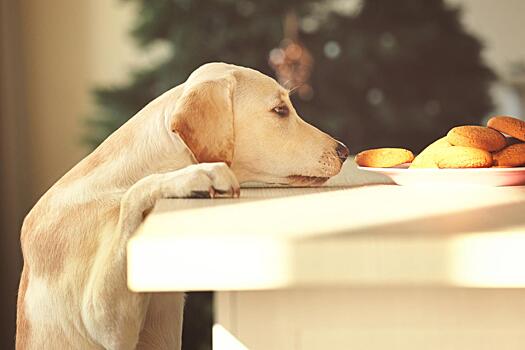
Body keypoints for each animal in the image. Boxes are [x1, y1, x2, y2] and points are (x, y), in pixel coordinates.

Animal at [15, 61, 348, 348]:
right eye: (280, 110)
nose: (344, 151)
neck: (114, 182)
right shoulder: (106, 323)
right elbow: (138, 191)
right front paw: (197, 176)